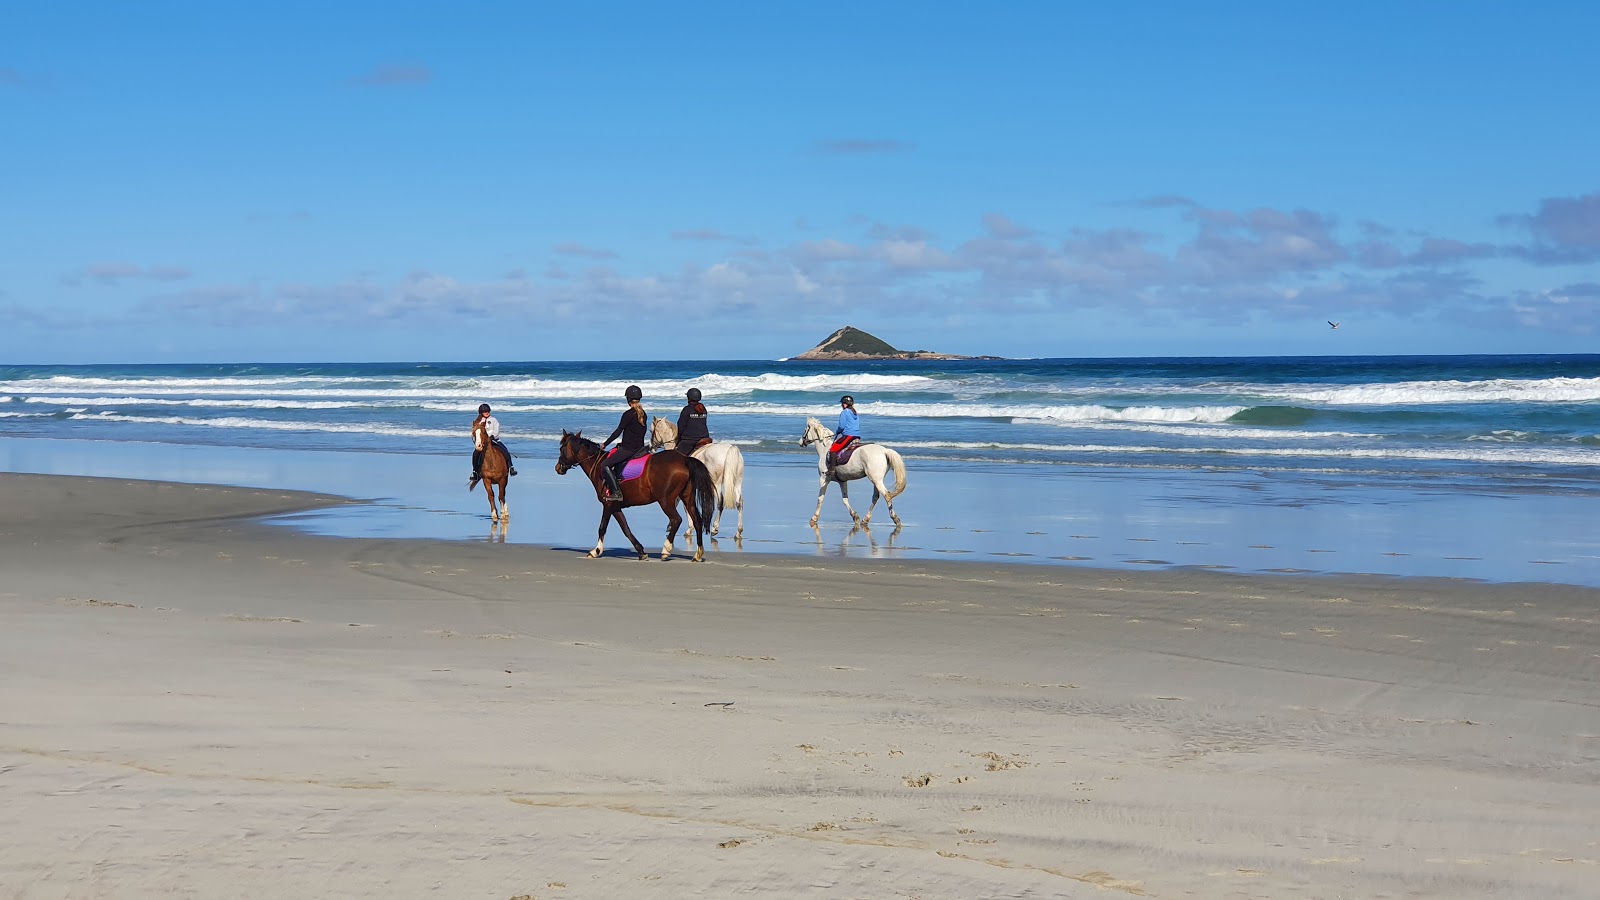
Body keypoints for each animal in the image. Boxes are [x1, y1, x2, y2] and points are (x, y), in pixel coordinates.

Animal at [560, 429, 716, 560]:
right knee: (697, 520)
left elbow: (602, 527)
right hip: (687, 497)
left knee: (676, 520)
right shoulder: (615, 506)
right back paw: (698, 554)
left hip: (665, 500)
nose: (558, 468)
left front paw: (595, 551)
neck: (598, 465)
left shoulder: (608, 504)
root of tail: (684, 459)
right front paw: (641, 551)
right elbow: (625, 528)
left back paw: (666, 550)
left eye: (562, 449)